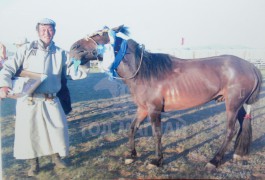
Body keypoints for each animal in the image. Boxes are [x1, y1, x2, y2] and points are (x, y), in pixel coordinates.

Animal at [68, 25, 262, 170]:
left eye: (99, 34)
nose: (73, 48)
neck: (144, 72)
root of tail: (250, 66)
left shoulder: (154, 110)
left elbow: (157, 133)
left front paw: (157, 160)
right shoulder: (143, 109)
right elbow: (132, 128)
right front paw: (131, 155)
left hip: (232, 105)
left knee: (229, 131)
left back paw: (214, 160)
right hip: (238, 105)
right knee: (242, 123)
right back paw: (238, 153)